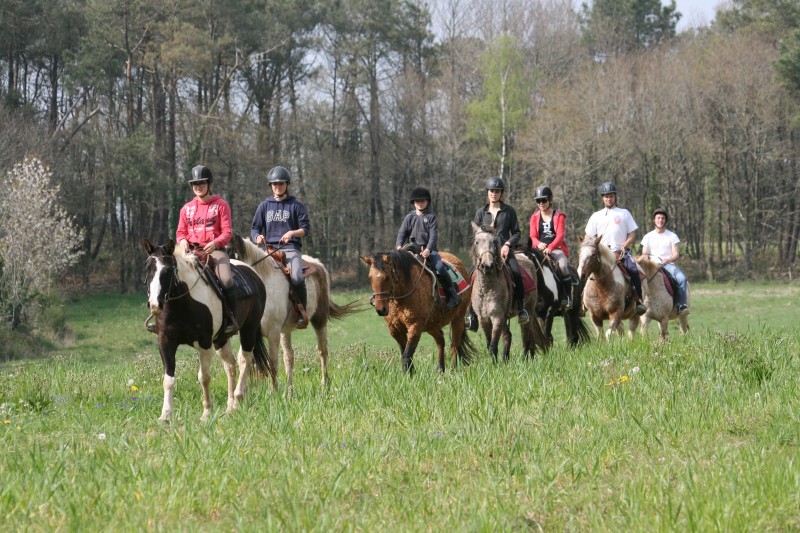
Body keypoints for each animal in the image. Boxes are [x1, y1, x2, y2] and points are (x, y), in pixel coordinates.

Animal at [147, 238, 276, 420]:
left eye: (167, 271)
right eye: (148, 268)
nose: (154, 305)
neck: (184, 303)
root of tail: (252, 273)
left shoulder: (204, 343)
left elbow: (204, 377)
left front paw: (206, 412)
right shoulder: (165, 342)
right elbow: (168, 379)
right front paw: (165, 416)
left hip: (248, 330)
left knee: (244, 360)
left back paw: (237, 399)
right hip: (221, 339)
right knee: (230, 366)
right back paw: (229, 407)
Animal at [227, 233, 360, 394]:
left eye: (228, 251)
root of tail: (318, 264)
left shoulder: (273, 332)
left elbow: (272, 362)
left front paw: (273, 391)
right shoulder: (250, 332)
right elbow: (245, 359)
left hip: (319, 320)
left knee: (322, 351)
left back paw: (324, 385)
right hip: (285, 331)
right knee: (289, 356)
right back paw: (290, 391)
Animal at [468, 222, 552, 360]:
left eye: (494, 241)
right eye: (476, 242)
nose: (487, 266)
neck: (487, 288)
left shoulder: (497, 316)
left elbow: (493, 345)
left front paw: (494, 363)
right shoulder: (483, 319)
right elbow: (489, 343)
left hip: (528, 310)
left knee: (526, 335)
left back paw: (525, 358)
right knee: (508, 335)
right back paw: (506, 359)